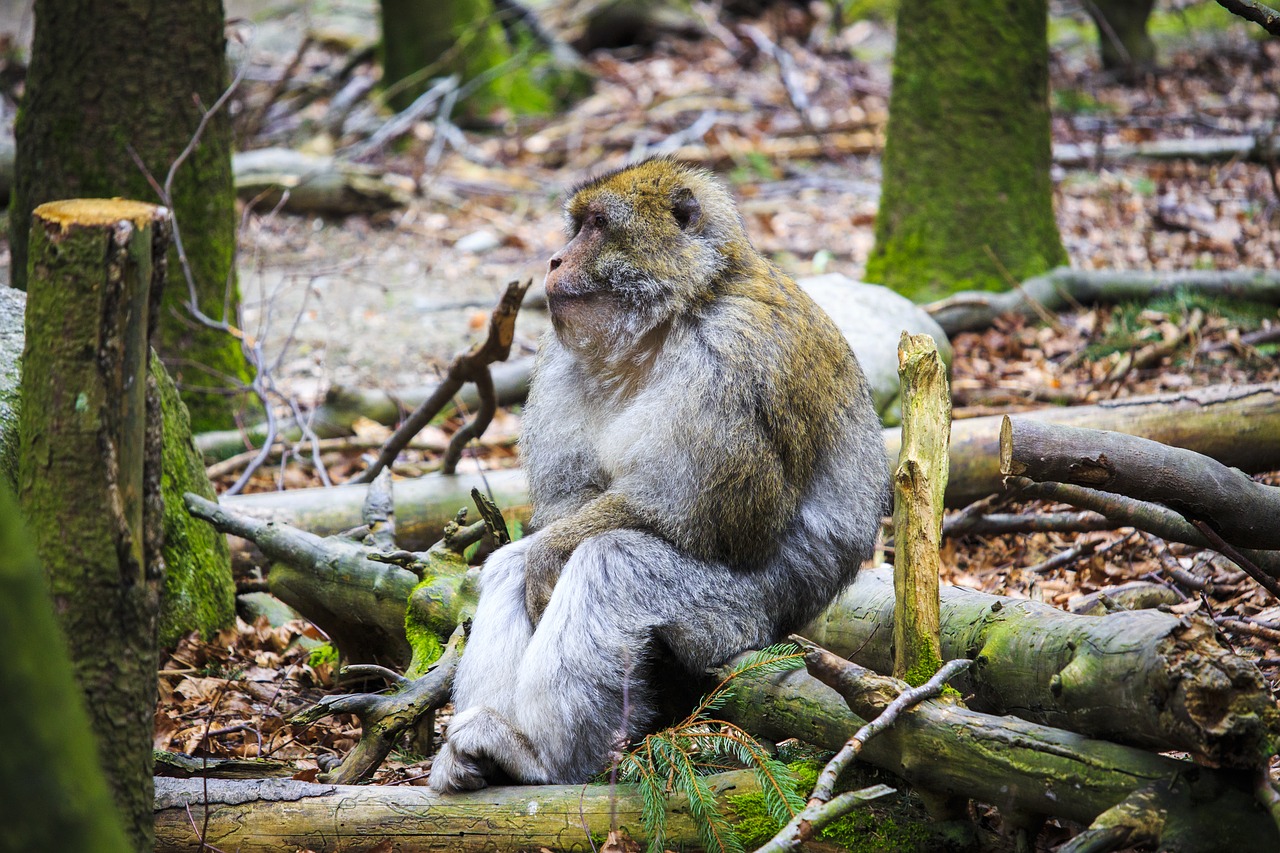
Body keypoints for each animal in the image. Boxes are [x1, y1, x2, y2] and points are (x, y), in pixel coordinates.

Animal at [424, 159, 885, 788]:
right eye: (577, 226)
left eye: (597, 226)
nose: (554, 260)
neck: (674, 316)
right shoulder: (560, 360)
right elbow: (570, 500)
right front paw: (542, 550)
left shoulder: (729, 361)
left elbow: (726, 522)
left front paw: (552, 555)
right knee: (511, 566)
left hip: (737, 616)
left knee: (610, 564)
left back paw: (540, 759)